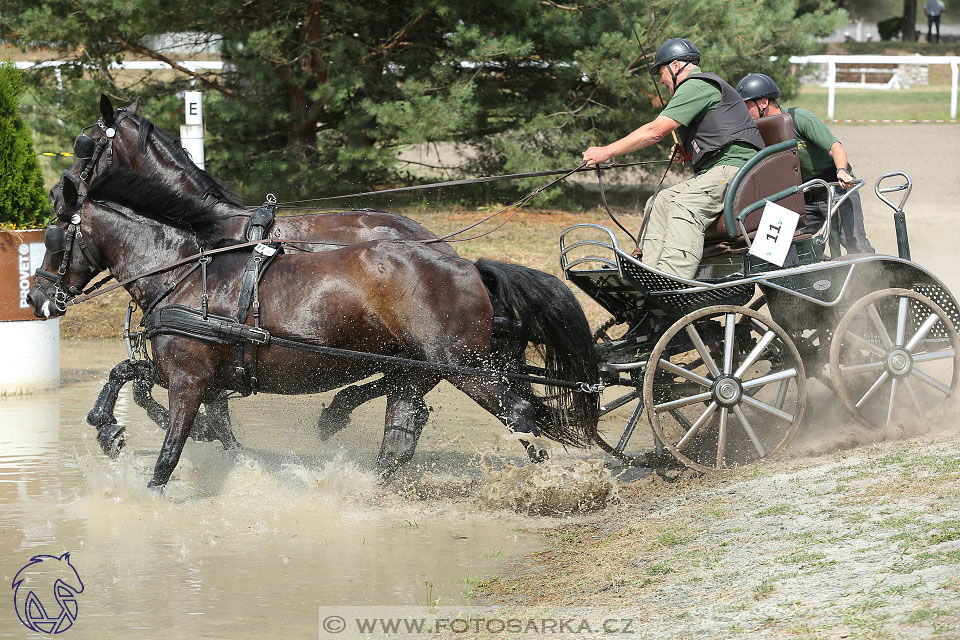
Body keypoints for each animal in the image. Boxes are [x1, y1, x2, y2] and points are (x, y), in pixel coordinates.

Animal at [28, 168, 600, 488]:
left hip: (466, 366)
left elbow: (170, 452)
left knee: (519, 412)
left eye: (53, 238)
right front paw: (108, 427)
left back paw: (554, 481)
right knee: (403, 427)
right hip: (419, 369)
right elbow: (124, 373)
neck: (186, 272)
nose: (35, 298)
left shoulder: (191, 381)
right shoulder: (191, 375)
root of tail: (465, 265)